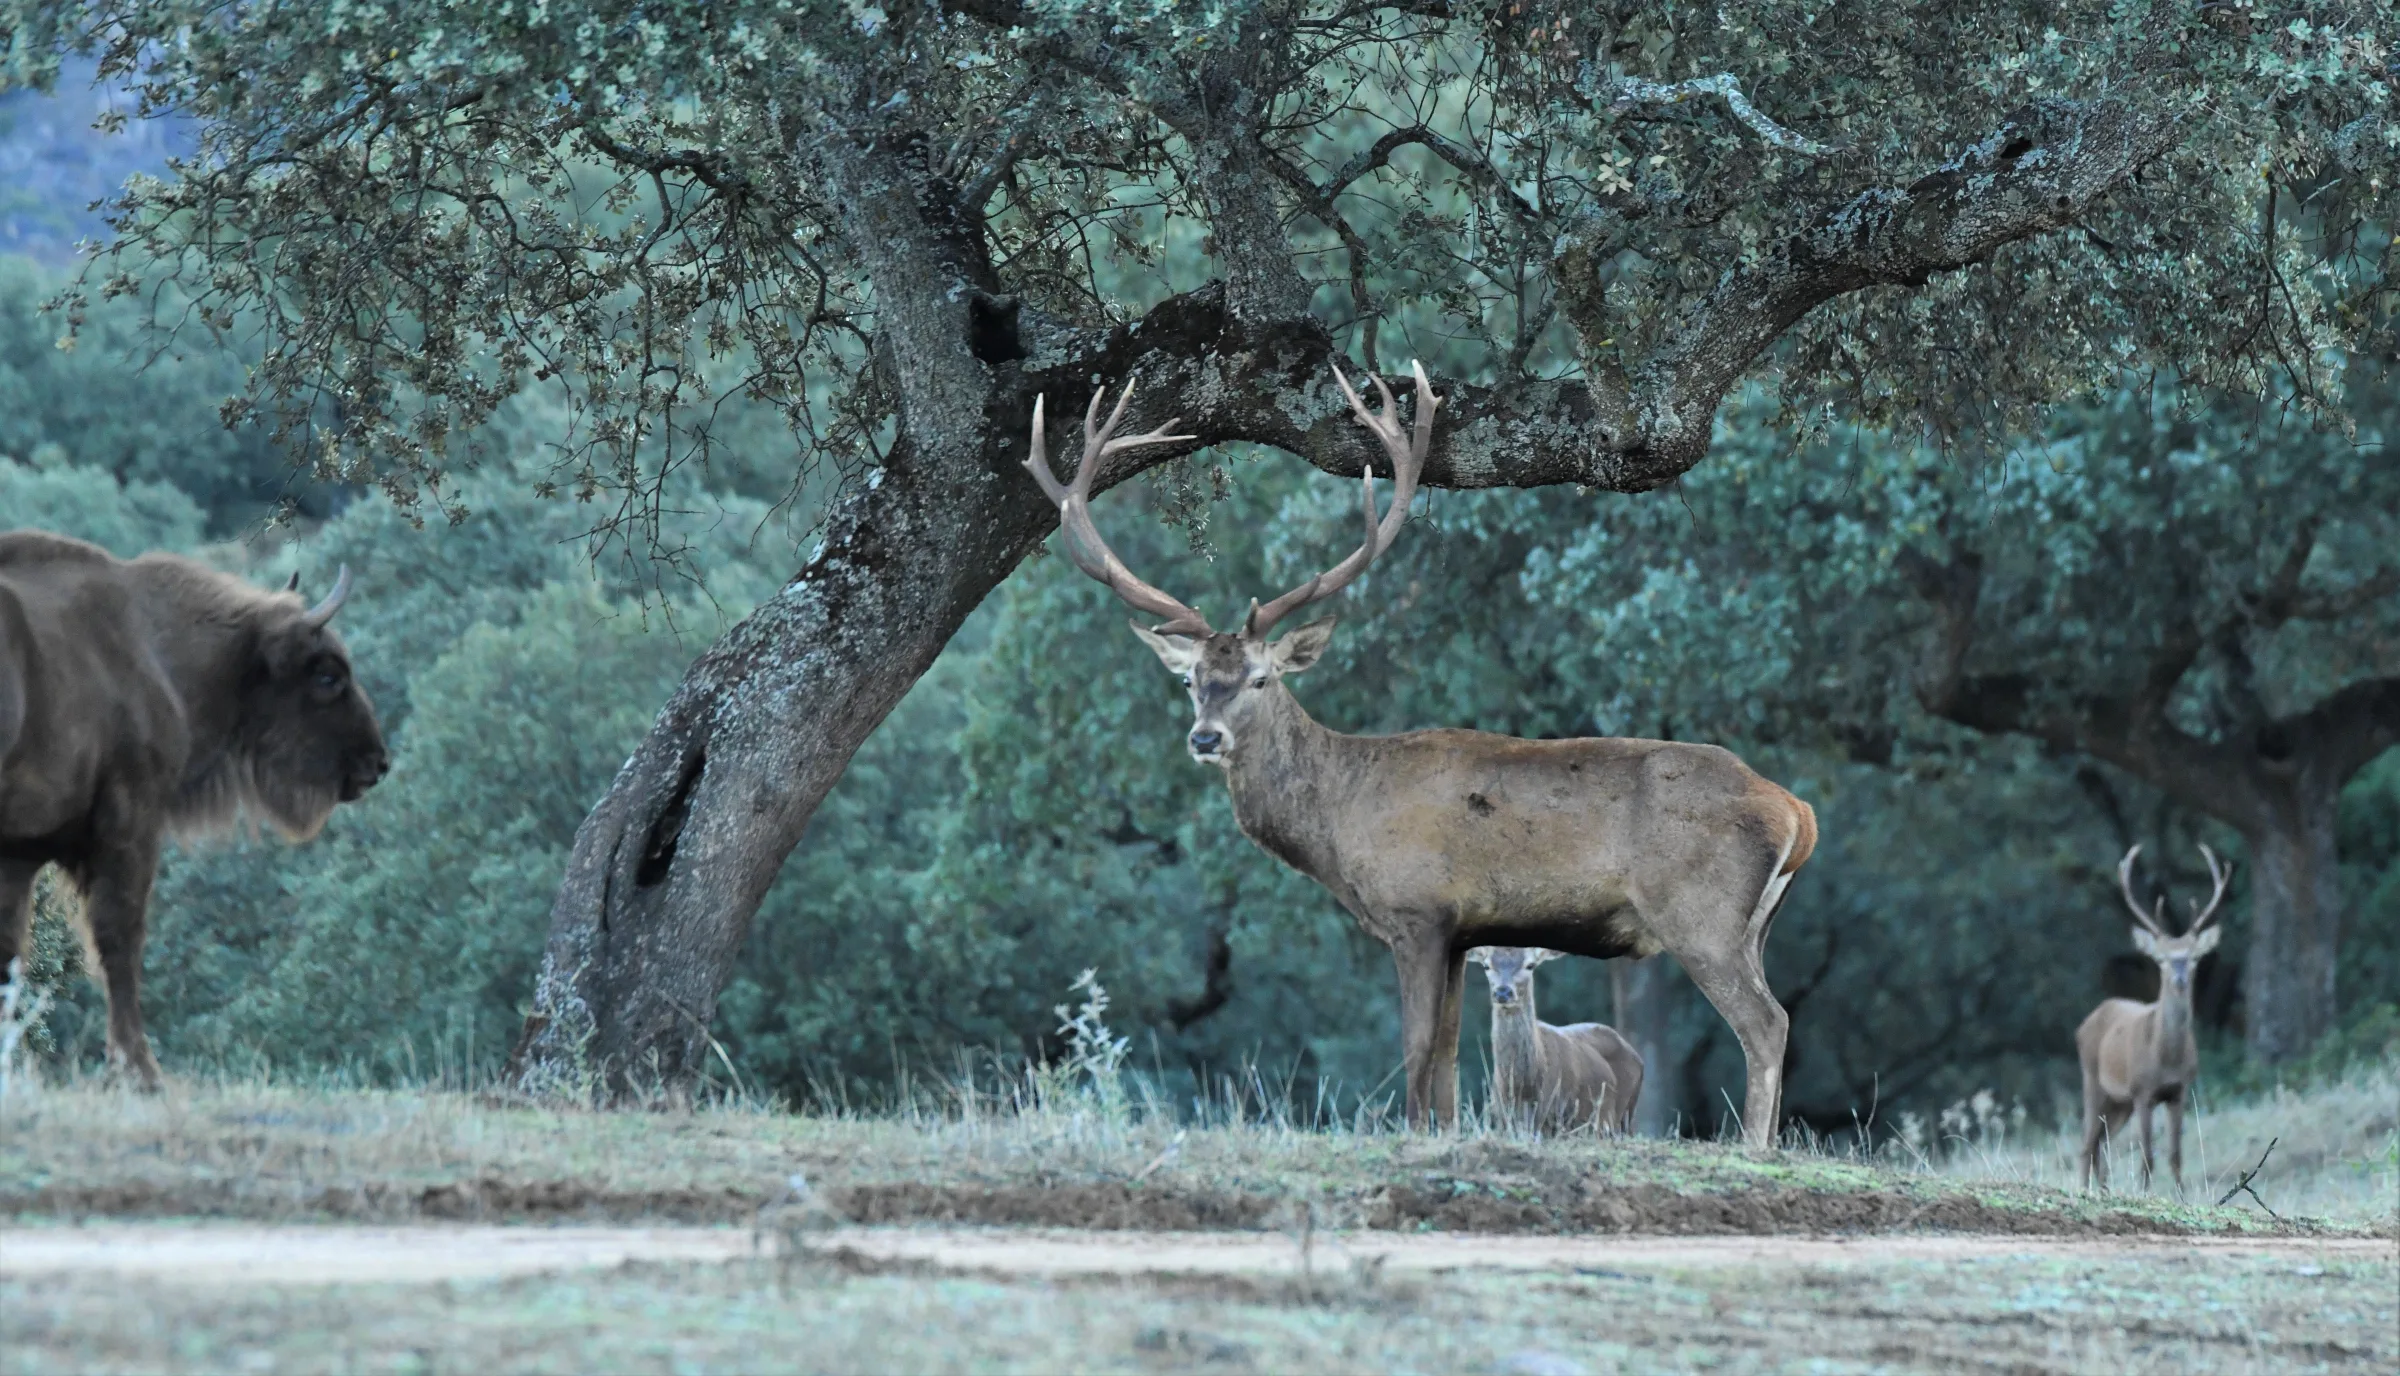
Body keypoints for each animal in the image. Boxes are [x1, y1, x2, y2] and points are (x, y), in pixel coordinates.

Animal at [0, 530, 389, 1087]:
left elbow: (11, 951)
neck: (153, 649)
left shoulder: (19, 851)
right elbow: (119, 936)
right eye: (327, 675)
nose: (376, 761)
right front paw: (142, 1072)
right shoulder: (130, 823)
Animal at [1470, 947, 1644, 1133]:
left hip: (1624, 1112)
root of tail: (1638, 1058)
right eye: (1486, 965)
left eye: (1530, 965)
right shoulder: (1502, 1117)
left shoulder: (1560, 1114)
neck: (1523, 1089)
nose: (1503, 992)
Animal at [2077, 843, 2229, 1192]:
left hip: (2118, 1102)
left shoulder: (2179, 1091)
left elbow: (2175, 1155)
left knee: (2100, 1142)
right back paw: (2085, 1189)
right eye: (2161, 959)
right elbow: (2147, 1156)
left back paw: (2103, 1189)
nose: (2179, 978)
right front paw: (2143, 1194)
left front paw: (2181, 1196)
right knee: (2086, 1143)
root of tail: (2088, 1019)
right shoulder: (2142, 1090)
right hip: (2093, 1079)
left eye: (2194, 957)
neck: (2165, 1058)